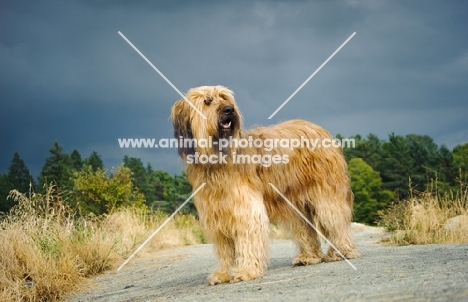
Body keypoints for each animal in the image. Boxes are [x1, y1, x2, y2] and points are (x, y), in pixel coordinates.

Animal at [171, 85, 358, 286]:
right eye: (207, 101)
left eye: (224, 98)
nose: (229, 110)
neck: (217, 161)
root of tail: (317, 128)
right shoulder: (216, 213)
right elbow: (225, 248)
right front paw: (223, 274)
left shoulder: (245, 208)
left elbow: (248, 236)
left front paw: (246, 271)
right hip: (294, 202)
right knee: (304, 227)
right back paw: (309, 257)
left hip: (325, 192)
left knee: (335, 218)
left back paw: (342, 252)